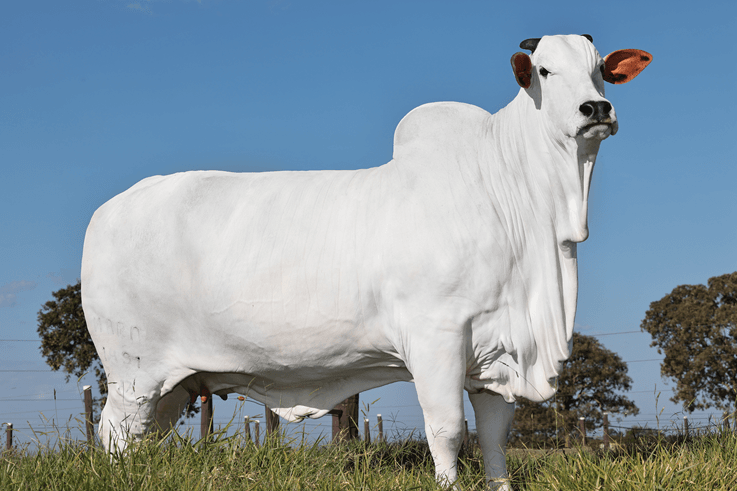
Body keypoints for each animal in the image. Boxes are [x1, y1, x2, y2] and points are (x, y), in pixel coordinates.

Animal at [81, 34, 650, 489]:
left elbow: (493, 439)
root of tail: (110, 208)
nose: (596, 109)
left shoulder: (497, 353)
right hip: (133, 374)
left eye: (600, 69)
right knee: (115, 436)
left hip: (174, 383)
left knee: (143, 439)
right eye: (545, 71)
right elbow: (447, 430)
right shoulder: (436, 337)